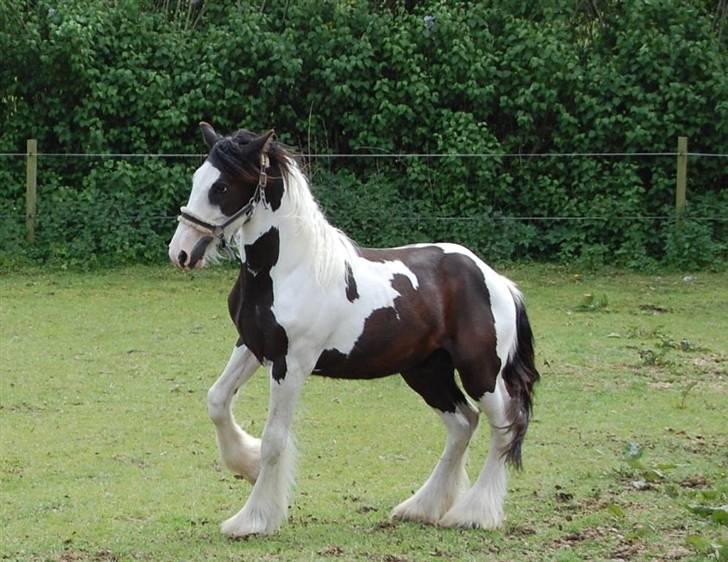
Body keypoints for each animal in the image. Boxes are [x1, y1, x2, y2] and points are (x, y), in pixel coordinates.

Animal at [169, 124, 540, 536]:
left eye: (220, 187)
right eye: (197, 178)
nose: (181, 252)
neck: (290, 269)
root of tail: (498, 280)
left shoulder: (291, 364)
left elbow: (274, 440)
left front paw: (253, 519)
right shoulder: (251, 346)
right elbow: (217, 401)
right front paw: (247, 465)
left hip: (481, 372)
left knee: (504, 425)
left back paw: (475, 513)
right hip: (426, 371)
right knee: (464, 423)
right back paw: (422, 507)